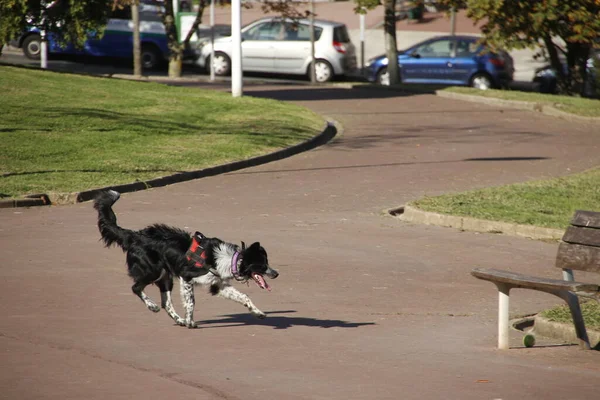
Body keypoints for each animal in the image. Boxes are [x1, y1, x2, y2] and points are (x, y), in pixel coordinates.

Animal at [93, 191, 278, 328]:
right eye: (262, 265)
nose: (276, 274)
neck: (229, 259)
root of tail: (133, 236)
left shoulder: (218, 285)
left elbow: (244, 297)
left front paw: (258, 312)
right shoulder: (187, 277)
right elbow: (191, 302)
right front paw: (190, 321)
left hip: (165, 278)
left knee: (166, 303)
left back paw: (179, 320)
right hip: (153, 271)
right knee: (136, 288)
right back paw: (153, 306)